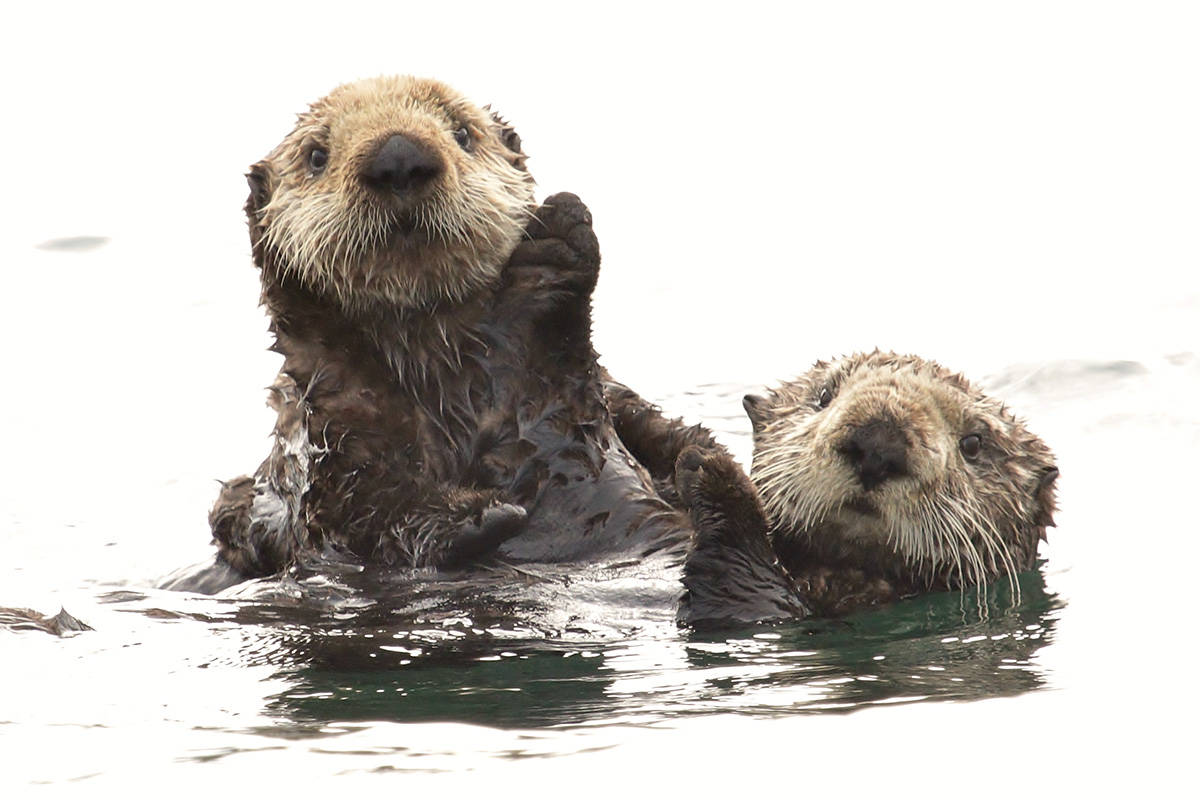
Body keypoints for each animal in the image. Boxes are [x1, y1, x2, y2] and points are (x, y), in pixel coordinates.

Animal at [163, 75, 804, 628]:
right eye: (317, 155)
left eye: (462, 133)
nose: (398, 157)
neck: (451, 384)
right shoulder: (329, 444)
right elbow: (354, 512)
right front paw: (482, 515)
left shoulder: (592, 399)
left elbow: (622, 410)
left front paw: (556, 246)